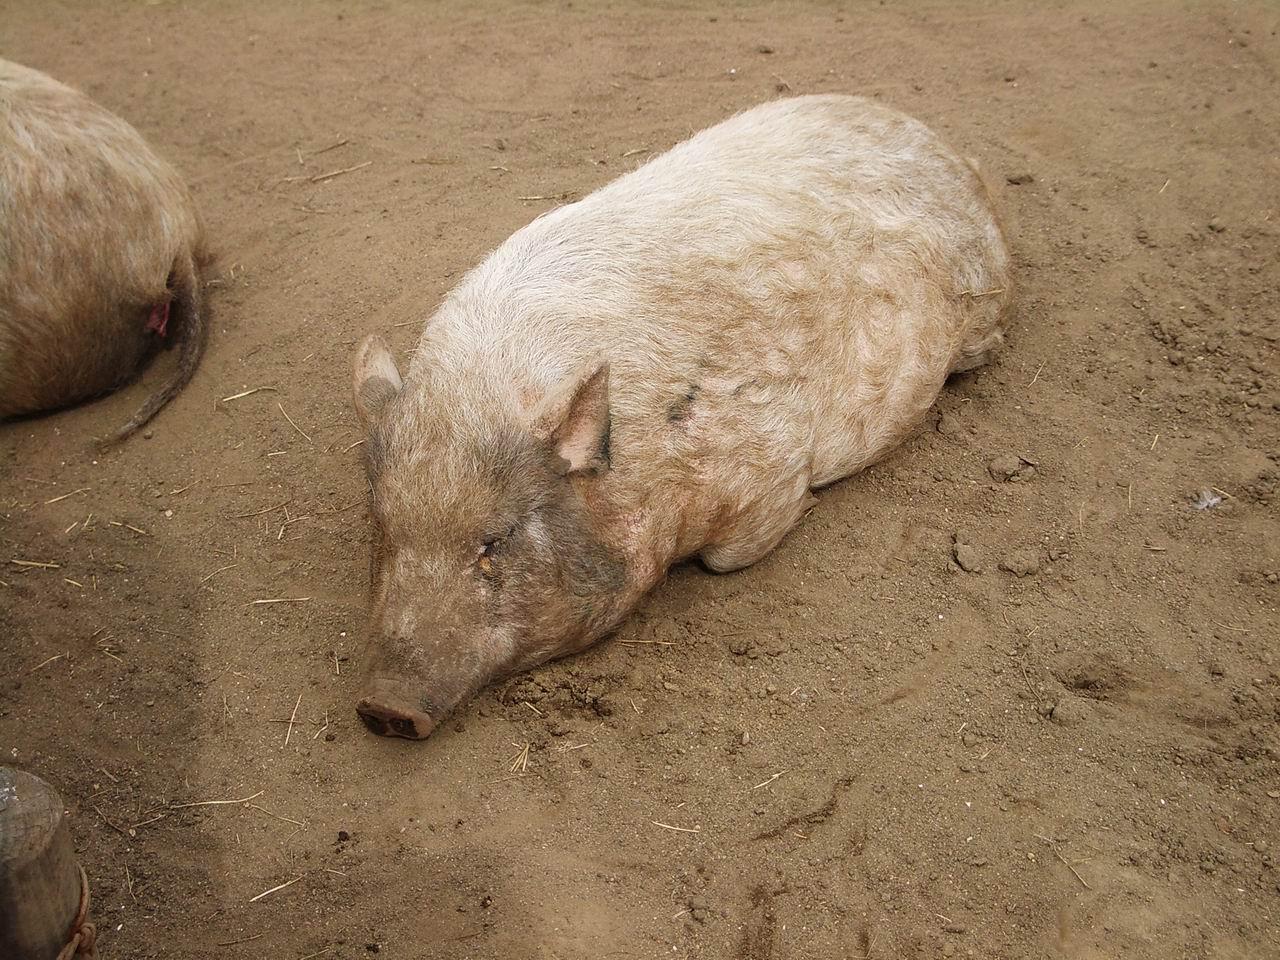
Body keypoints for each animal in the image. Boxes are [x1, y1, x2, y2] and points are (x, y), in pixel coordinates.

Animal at [351, 94, 1013, 739]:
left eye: (495, 540)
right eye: (384, 528)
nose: (384, 707)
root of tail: (934, 138)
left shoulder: (768, 467)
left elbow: (735, 553)